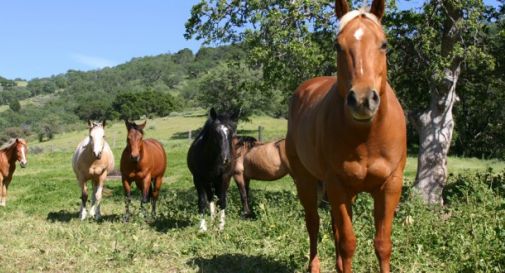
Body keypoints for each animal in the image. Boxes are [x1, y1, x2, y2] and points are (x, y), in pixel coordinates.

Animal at [286, 1, 408, 270]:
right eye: (337, 45)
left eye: (384, 44)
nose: (362, 100)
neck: (367, 137)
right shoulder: (337, 185)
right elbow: (348, 243)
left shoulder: (390, 186)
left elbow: (383, 244)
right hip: (306, 182)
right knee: (314, 224)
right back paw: (315, 266)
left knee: (333, 228)